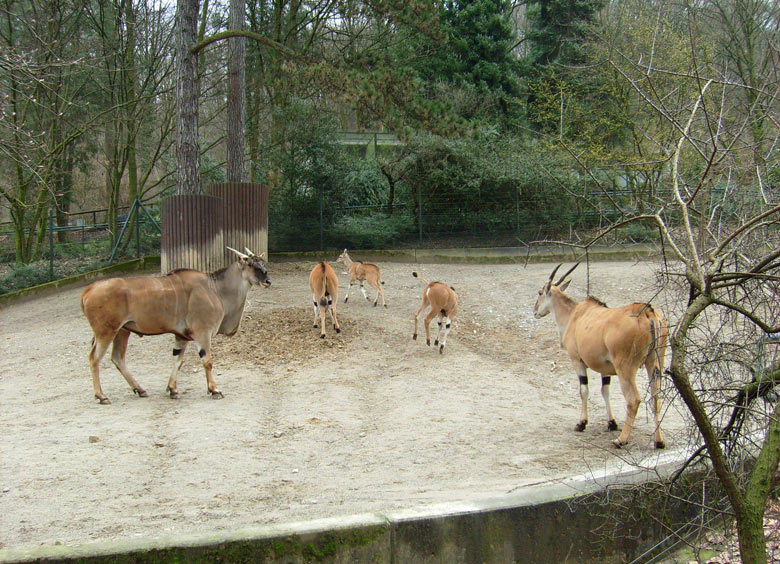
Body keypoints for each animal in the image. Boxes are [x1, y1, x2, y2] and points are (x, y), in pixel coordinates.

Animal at [532, 264, 668, 450]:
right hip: (654, 364)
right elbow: (605, 390)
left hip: (626, 369)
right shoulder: (606, 368)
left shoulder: (577, 361)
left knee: (633, 400)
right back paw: (658, 441)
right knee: (656, 398)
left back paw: (621, 440)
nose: (535, 311)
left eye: (540, 292)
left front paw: (581, 423)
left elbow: (583, 390)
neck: (574, 314)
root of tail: (648, 312)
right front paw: (611, 423)